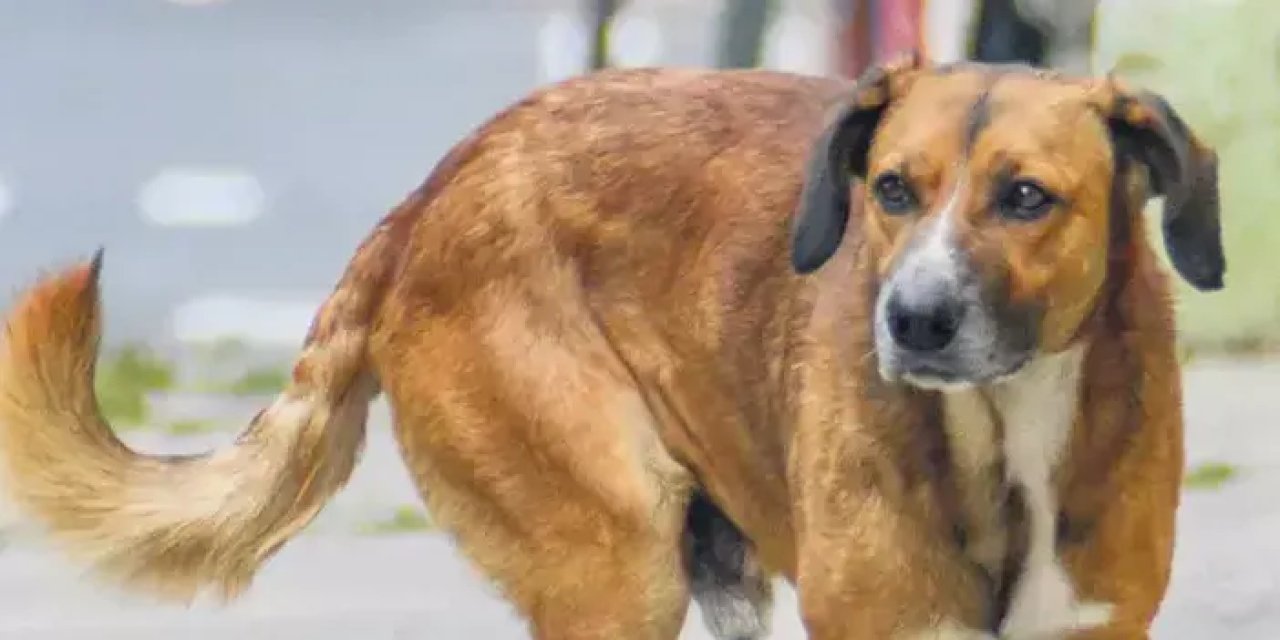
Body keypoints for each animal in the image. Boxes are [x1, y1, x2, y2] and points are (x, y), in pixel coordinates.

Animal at [0, 56, 1218, 640]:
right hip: (614, 567)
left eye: (1026, 198)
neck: (999, 435)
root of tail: (432, 190)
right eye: (891, 190)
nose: (911, 320)